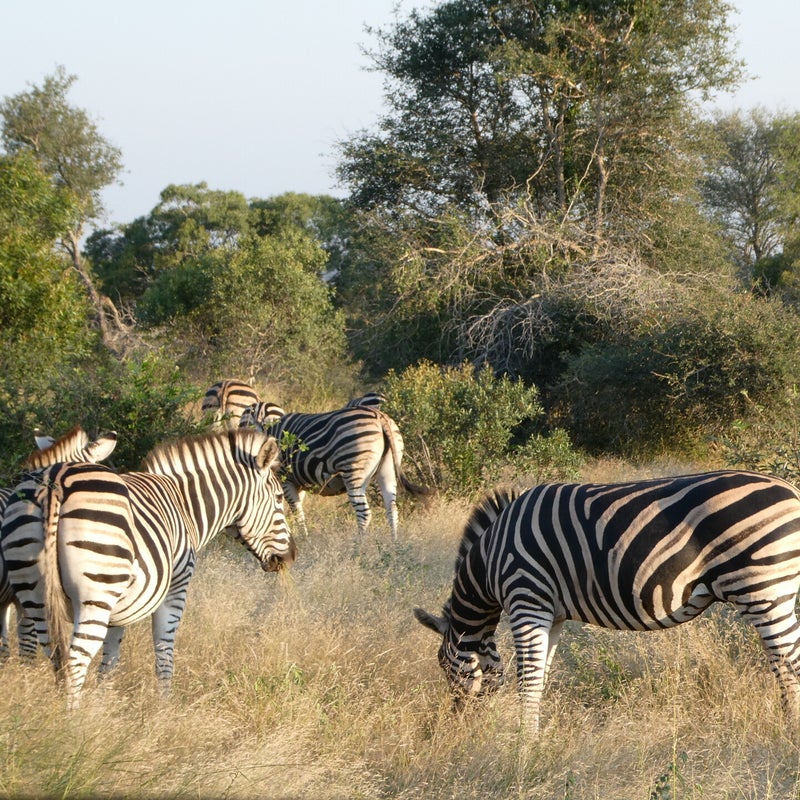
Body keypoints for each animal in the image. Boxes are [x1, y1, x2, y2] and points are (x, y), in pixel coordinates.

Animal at [240, 401, 432, 540]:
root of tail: (380, 416)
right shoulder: (296, 483)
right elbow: (297, 510)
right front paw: (303, 538)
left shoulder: (285, 480)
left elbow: (294, 511)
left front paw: (301, 540)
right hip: (388, 468)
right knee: (392, 509)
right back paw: (394, 546)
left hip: (354, 471)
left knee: (364, 514)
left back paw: (358, 549)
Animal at [415, 471, 800, 735]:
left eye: (443, 665)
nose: (455, 727)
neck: (489, 562)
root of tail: (791, 490)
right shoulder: (551, 614)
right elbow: (540, 677)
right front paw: (534, 739)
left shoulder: (527, 599)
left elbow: (528, 679)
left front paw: (524, 747)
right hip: (777, 591)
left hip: (764, 591)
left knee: (788, 664)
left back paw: (789, 733)